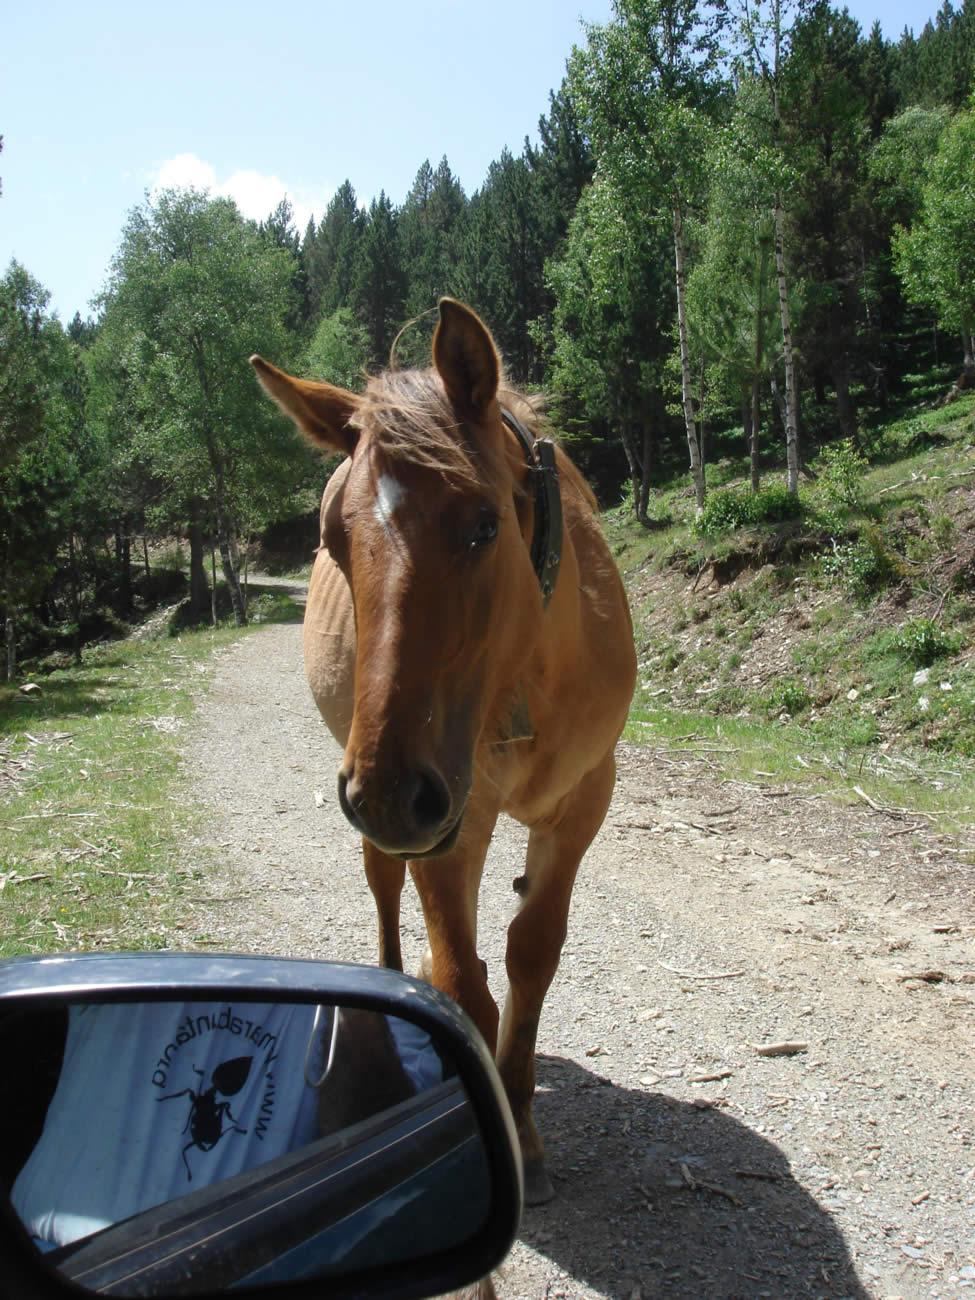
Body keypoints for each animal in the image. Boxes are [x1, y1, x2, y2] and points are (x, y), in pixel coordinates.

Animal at [251, 299, 636, 1205]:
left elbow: (532, 953)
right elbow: (465, 979)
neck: (529, 670)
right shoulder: (447, 818)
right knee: (385, 890)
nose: (391, 793)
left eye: (483, 525)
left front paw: (519, 1113)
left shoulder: (582, 801)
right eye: (330, 535)